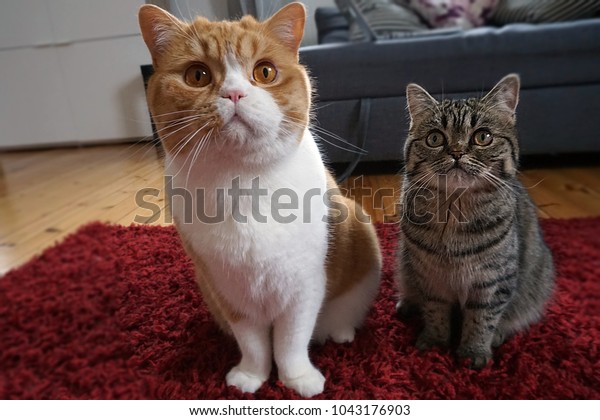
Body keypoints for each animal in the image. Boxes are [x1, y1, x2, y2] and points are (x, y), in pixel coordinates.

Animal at [138, 2, 380, 398]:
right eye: (197, 75)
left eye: (265, 71)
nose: (235, 94)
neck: (242, 183)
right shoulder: (228, 290)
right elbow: (253, 343)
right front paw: (252, 376)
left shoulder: (304, 286)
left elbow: (291, 341)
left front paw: (297, 379)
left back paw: (339, 332)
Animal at [396, 74, 556, 368]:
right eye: (435, 138)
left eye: (483, 136)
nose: (457, 152)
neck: (454, 209)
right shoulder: (429, 277)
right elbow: (435, 311)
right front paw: (435, 341)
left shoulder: (492, 283)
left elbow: (482, 320)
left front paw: (473, 351)